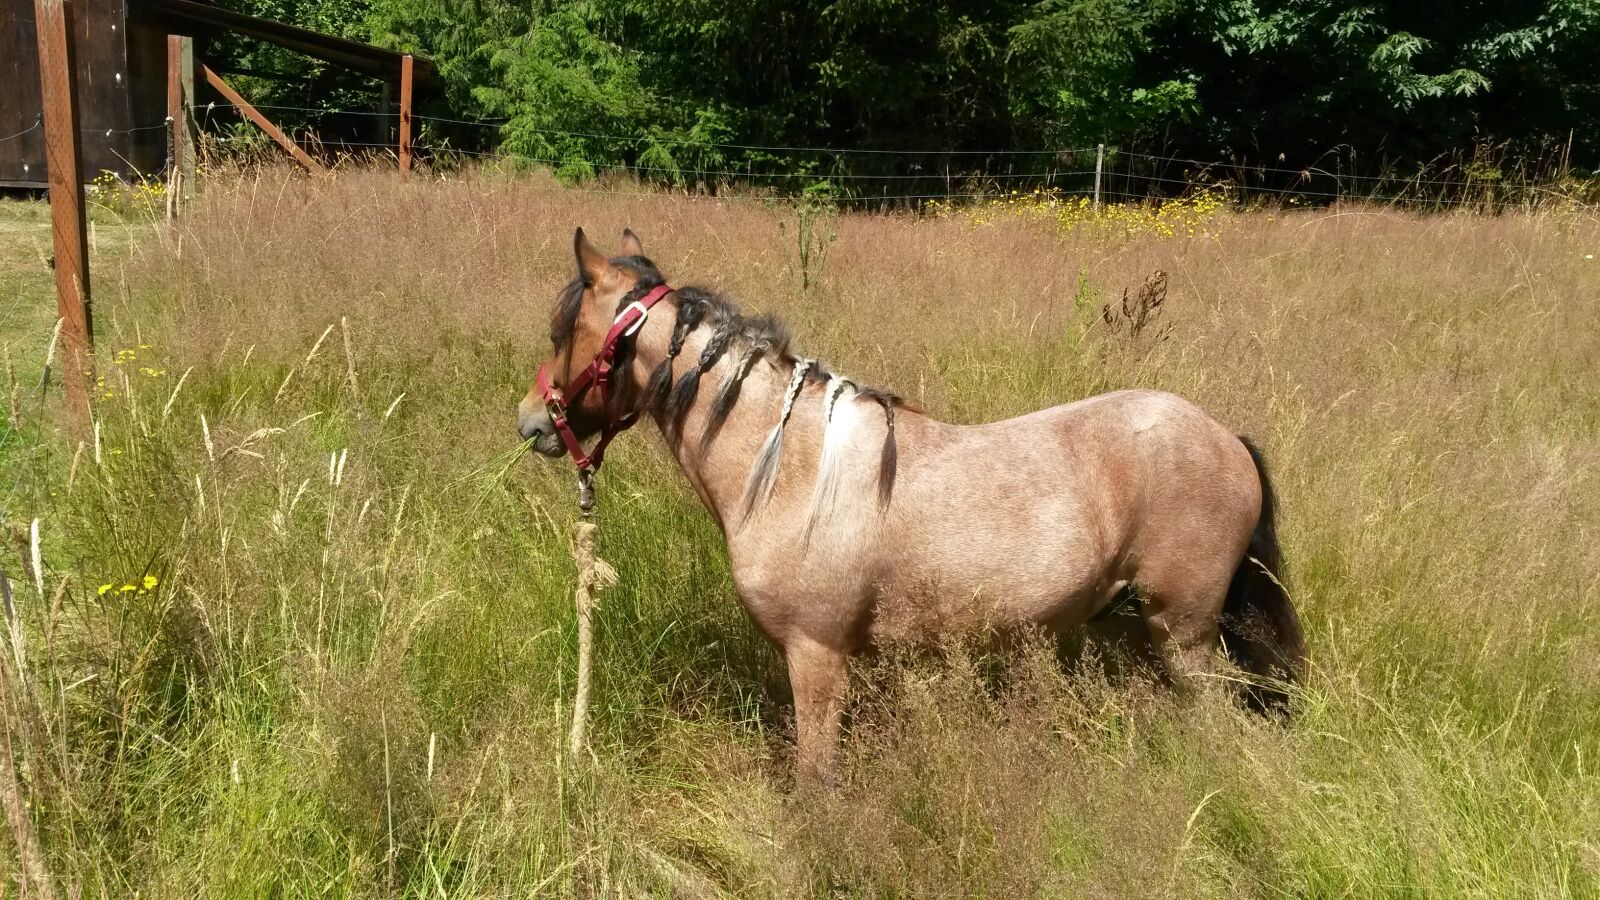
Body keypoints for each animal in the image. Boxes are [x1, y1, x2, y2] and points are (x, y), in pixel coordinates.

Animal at [518, 228, 1307, 780]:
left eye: (563, 332)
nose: (531, 422)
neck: (790, 467)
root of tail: (1227, 440)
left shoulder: (816, 656)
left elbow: (817, 778)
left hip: (1188, 637)